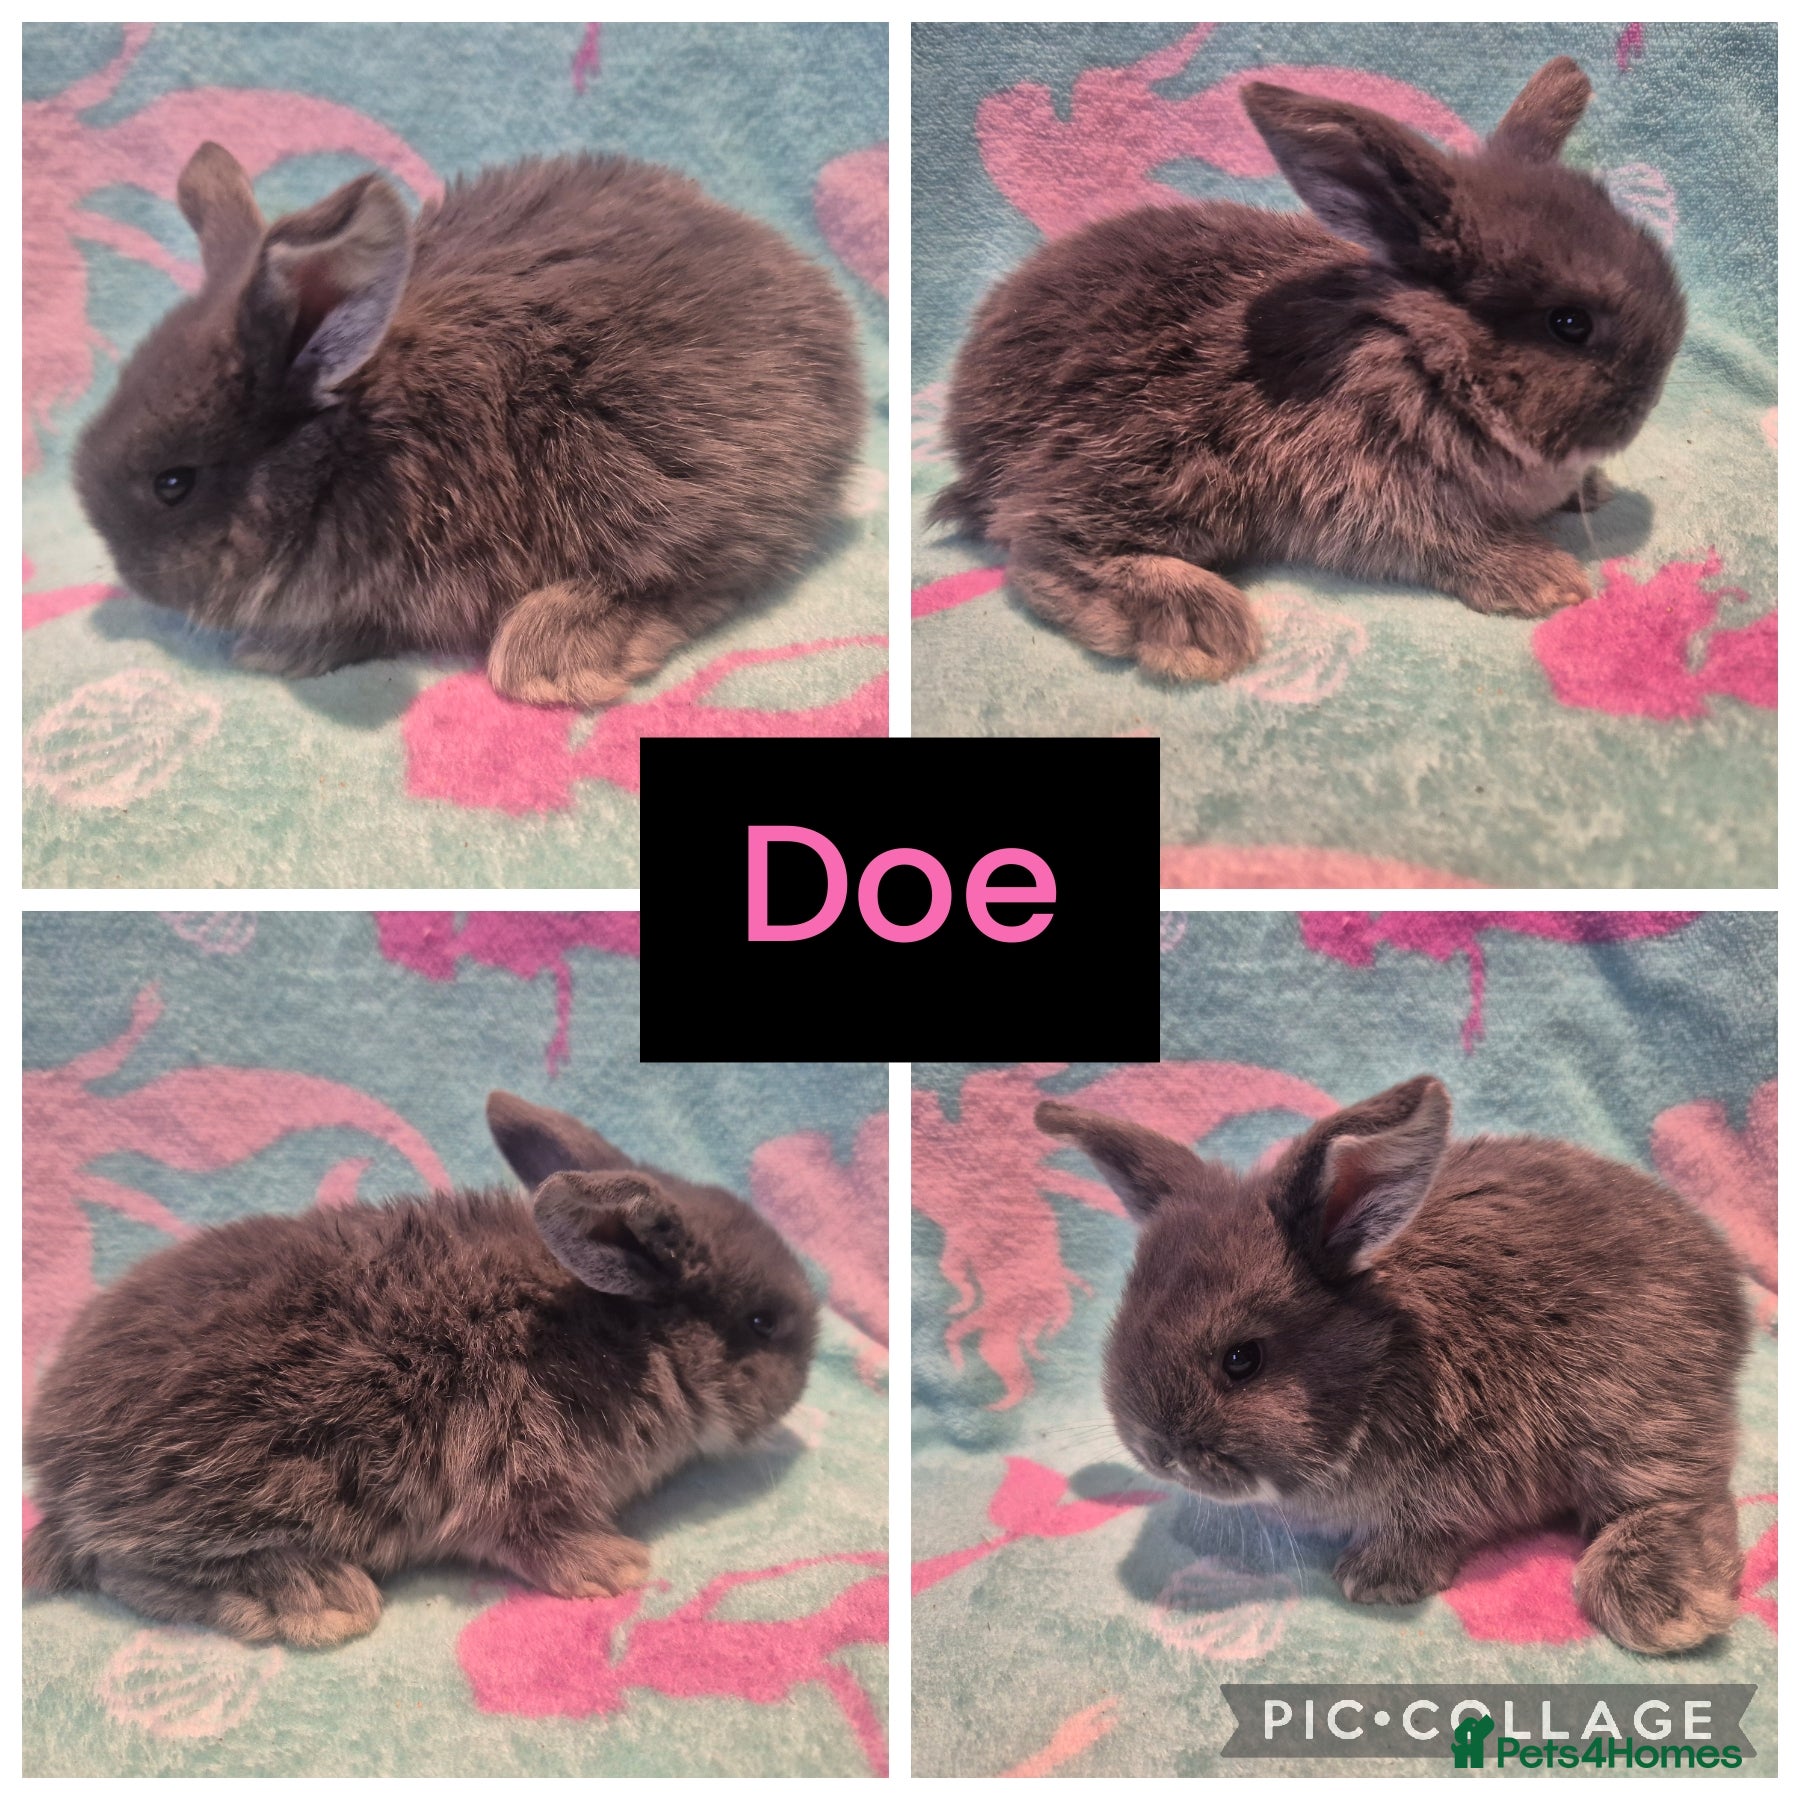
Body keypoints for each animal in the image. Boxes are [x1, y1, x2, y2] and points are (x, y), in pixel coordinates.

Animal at [23, 1091, 819, 1646]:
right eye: (762, 1323)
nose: (805, 1378)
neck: (617, 1332)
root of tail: (54, 1477)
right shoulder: (515, 1468)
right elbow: (535, 1537)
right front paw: (617, 1567)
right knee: (125, 1567)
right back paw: (318, 1598)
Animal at [74, 144, 865, 706]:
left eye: (173, 484)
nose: (129, 576)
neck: (357, 435)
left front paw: (271, 653)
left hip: (644, 464)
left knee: (699, 575)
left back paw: (552, 655)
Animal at [933, 57, 1686, 681]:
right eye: (1569, 324)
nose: (1648, 402)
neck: (1418, 354)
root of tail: (969, 424)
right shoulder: (1369, 486)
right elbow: (1448, 542)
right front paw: (1546, 577)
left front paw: (1590, 493)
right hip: (1164, 458)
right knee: (1037, 536)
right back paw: (1202, 629)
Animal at [1038, 1075, 1750, 1654]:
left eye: (1242, 1360)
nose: (1154, 1451)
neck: (1383, 1358)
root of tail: (1726, 1284)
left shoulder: (1455, 1469)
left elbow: (1428, 1528)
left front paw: (1372, 1578)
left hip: (1628, 1395)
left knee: (1683, 1491)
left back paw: (1658, 1607)